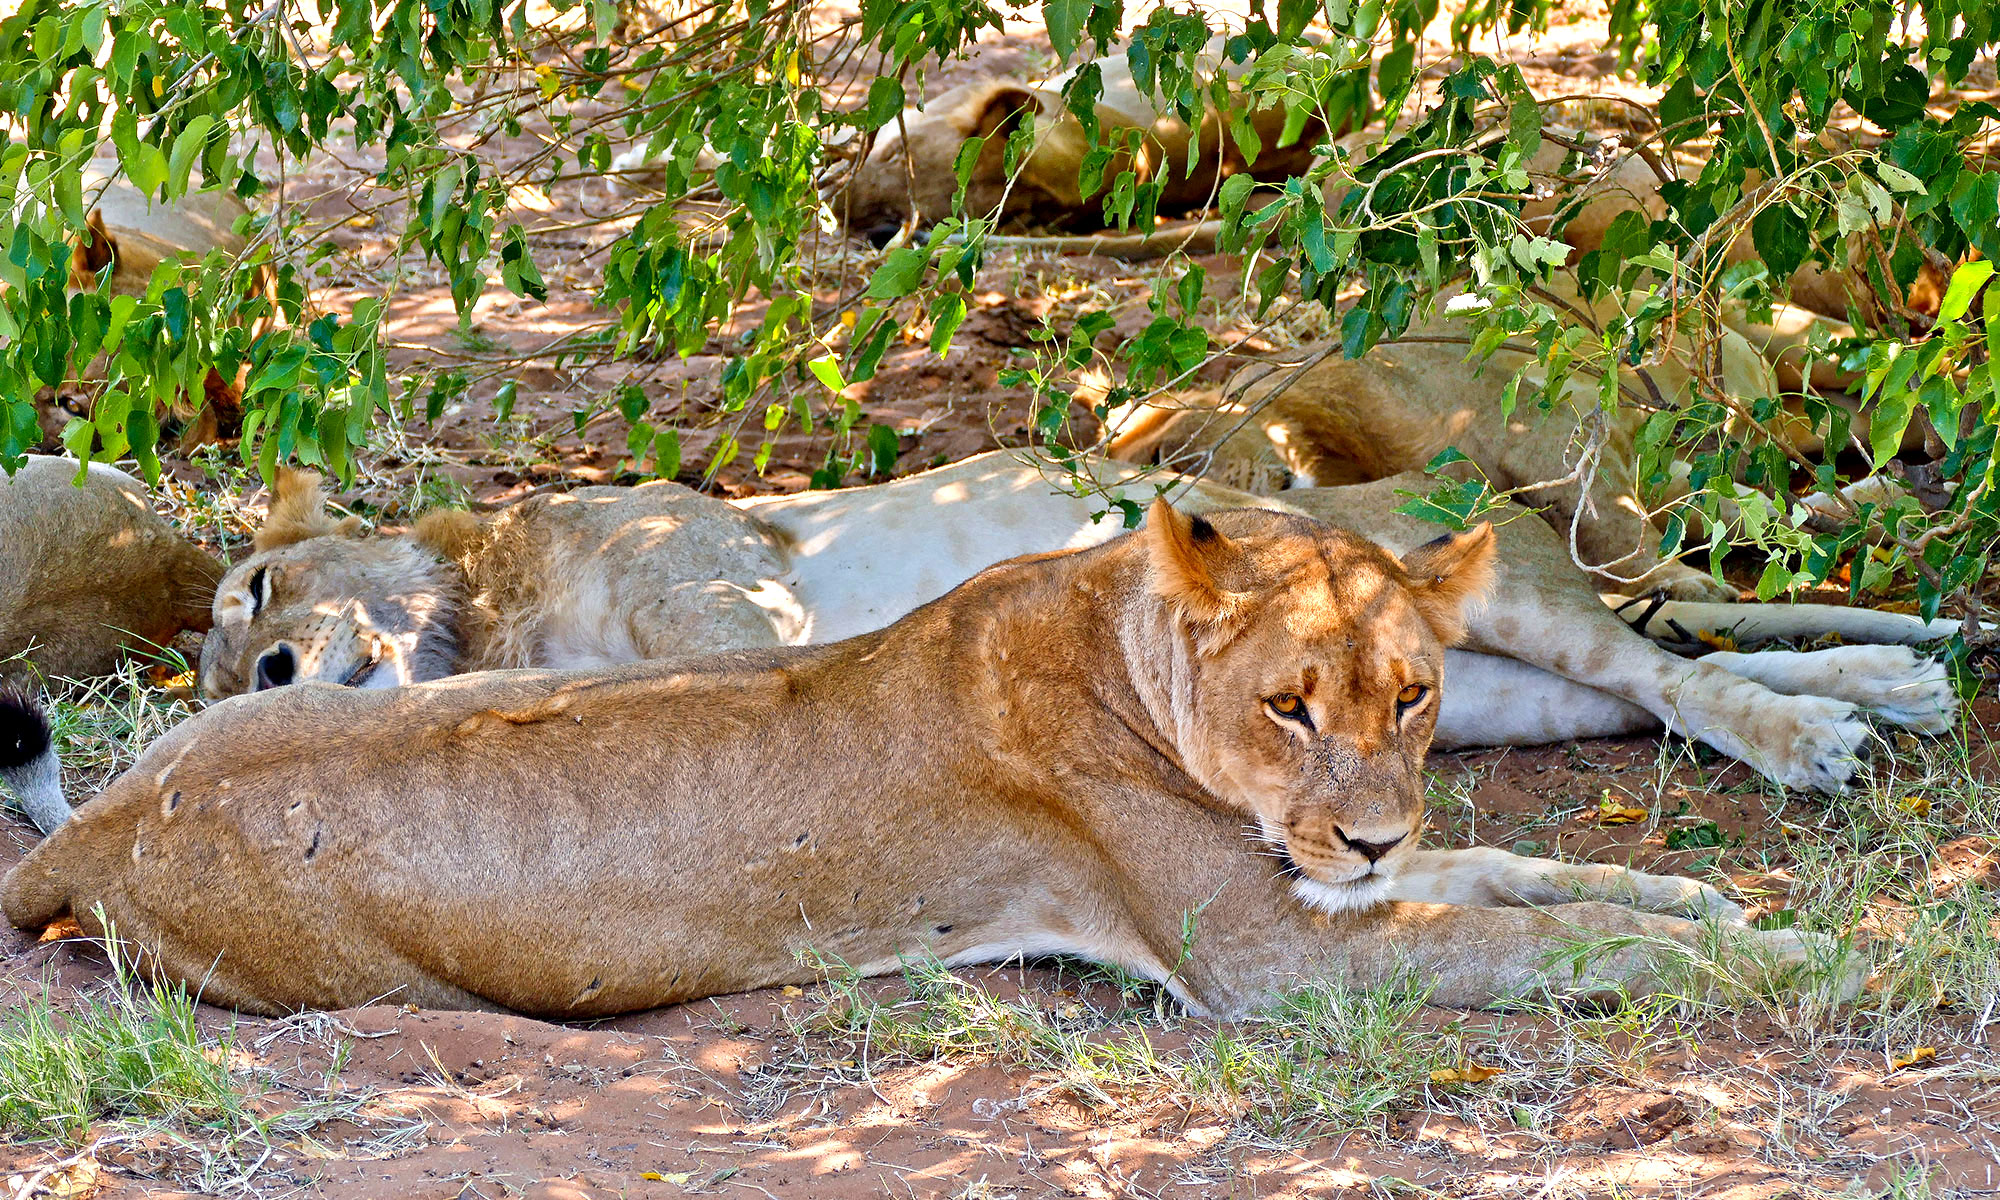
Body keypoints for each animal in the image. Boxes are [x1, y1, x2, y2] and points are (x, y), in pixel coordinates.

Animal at [2, 500, 1860, 1018]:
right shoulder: (1271, 960)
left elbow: (1532, 873)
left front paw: (1711, 906)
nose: (1371, 835)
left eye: (1411, 695)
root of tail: (100, 825)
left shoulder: (1334, 880)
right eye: (1291, 705)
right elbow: (1531, 939)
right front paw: (1759, 954)